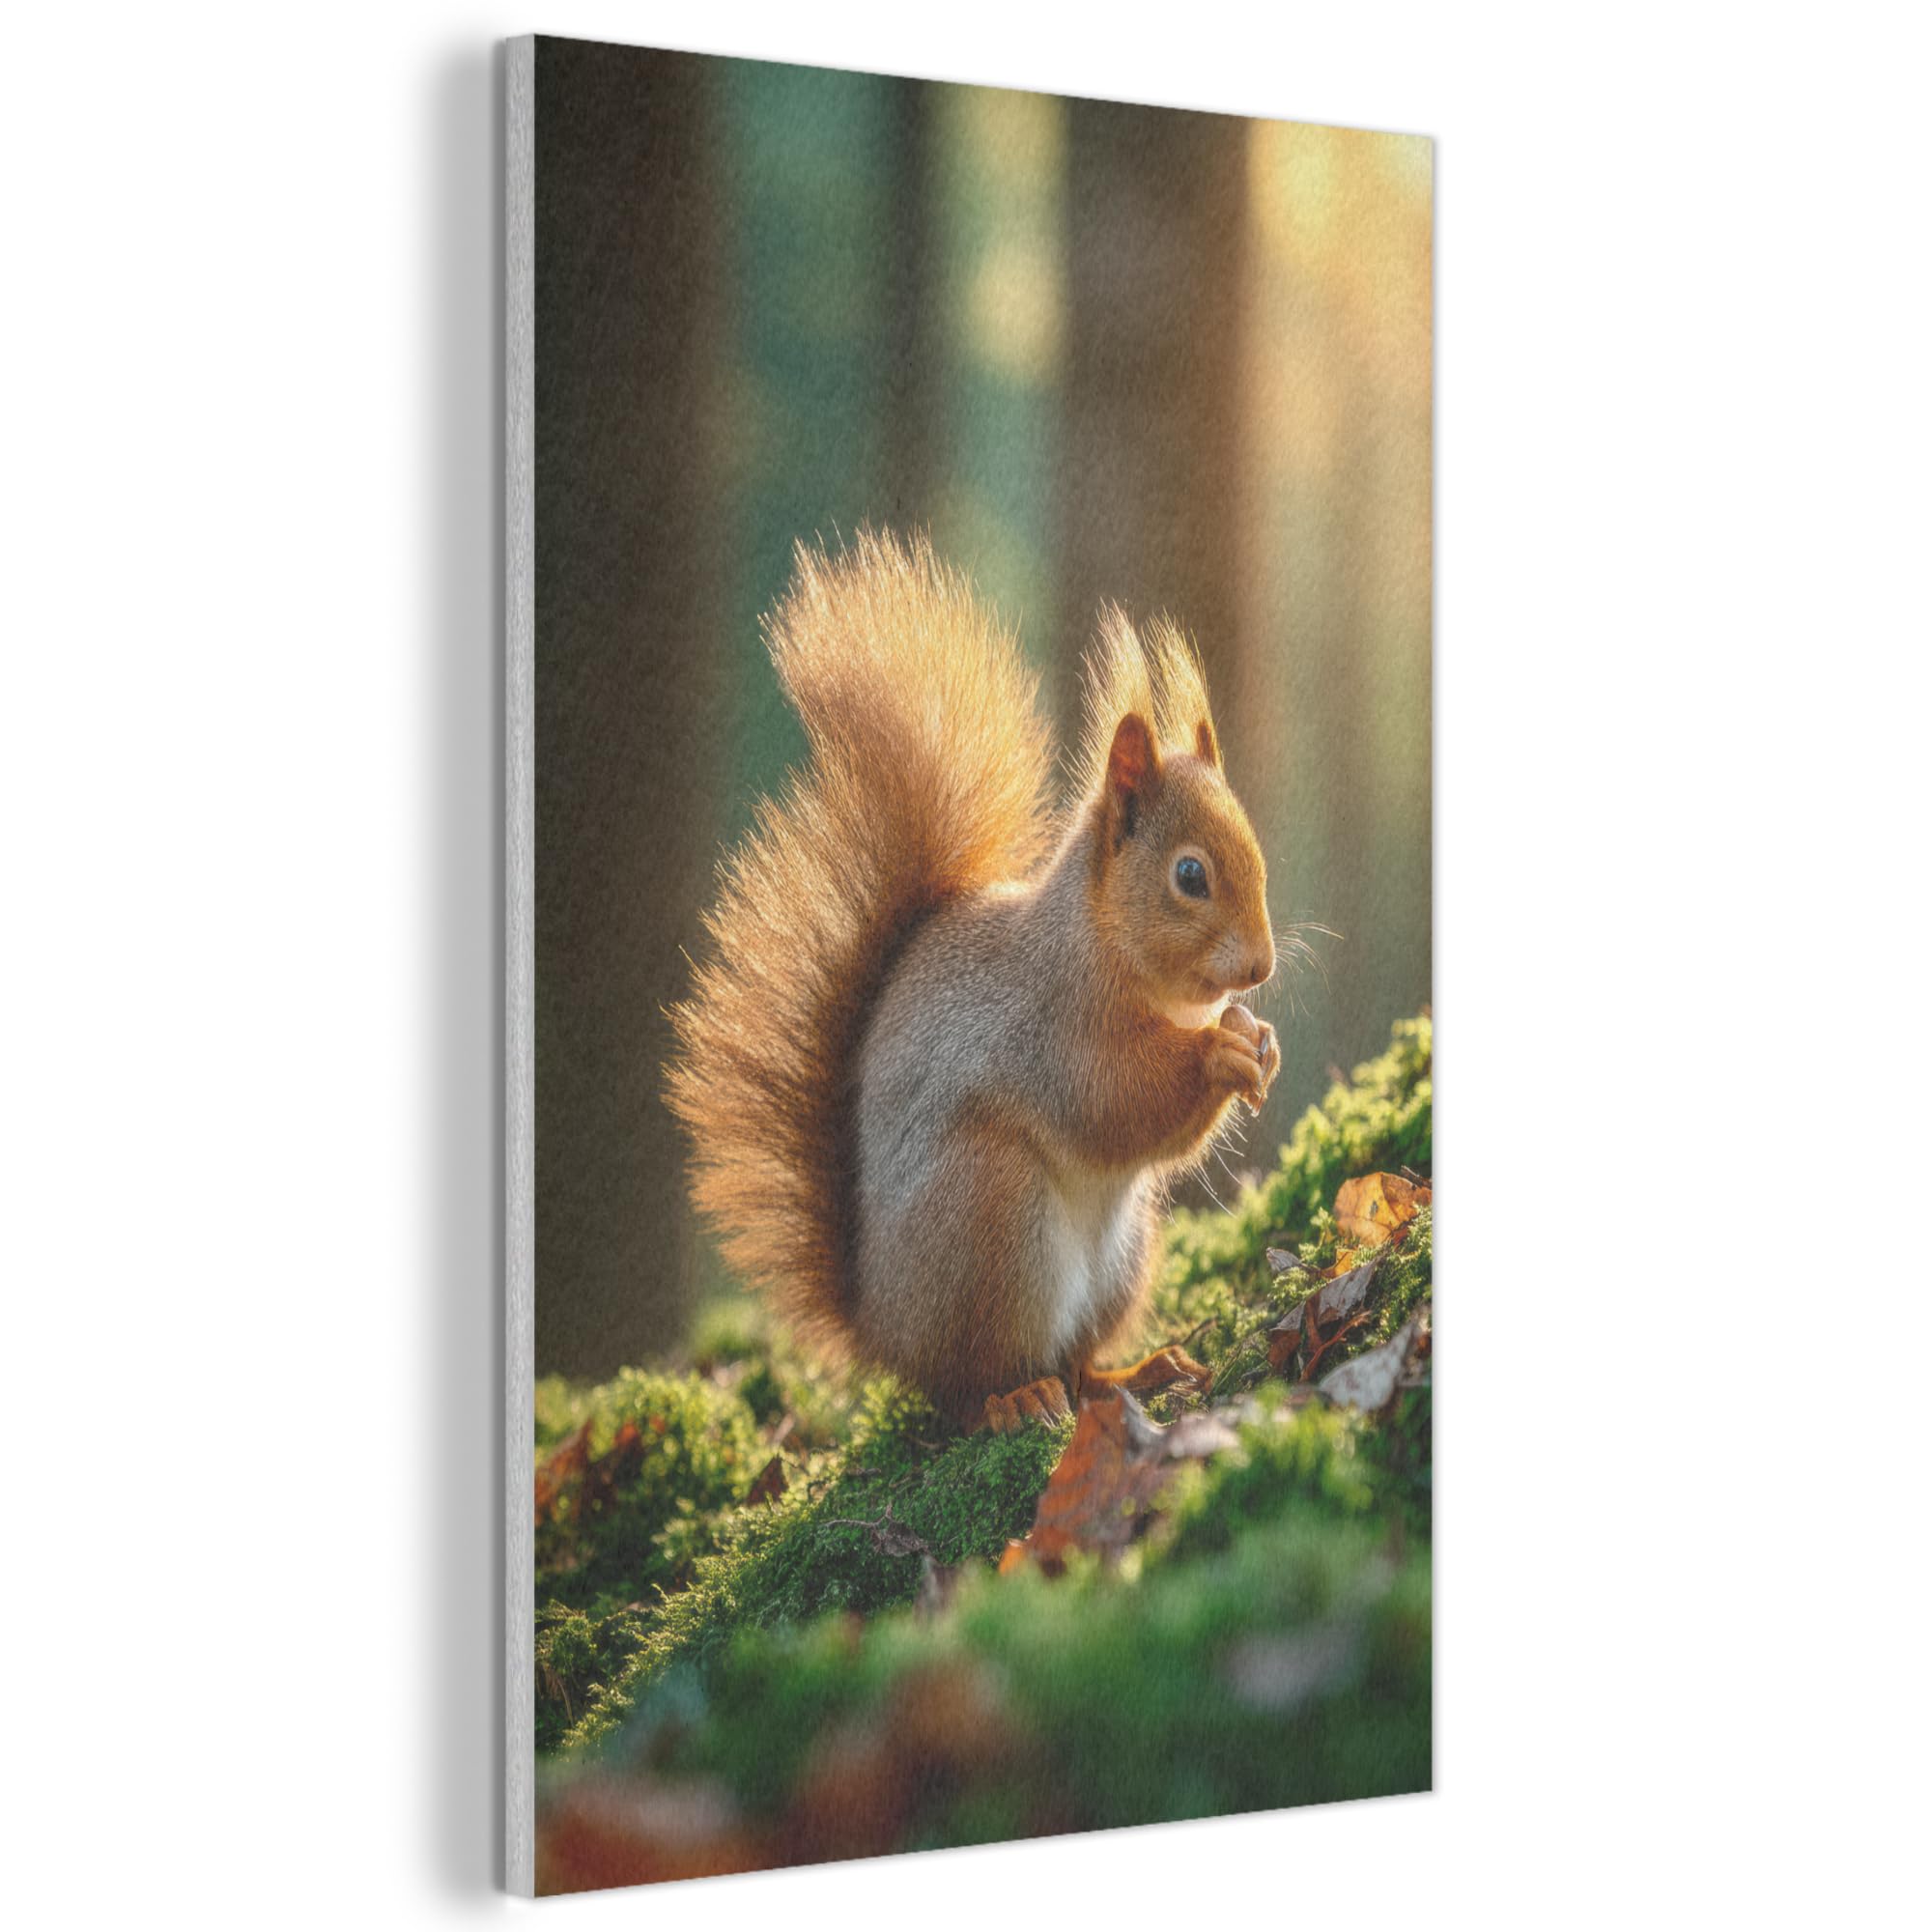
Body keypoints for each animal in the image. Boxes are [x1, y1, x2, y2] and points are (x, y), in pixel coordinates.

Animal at [667, 529, 1278, 1432]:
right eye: (1191, 875)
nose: (1262, 966)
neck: (1100, 946)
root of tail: (881, 1328)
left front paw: (1259, 1042)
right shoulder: (1051, 1027)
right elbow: (1115, 1102)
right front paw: (1220, 1055)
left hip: (1122, 1256)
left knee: (1078, 1364)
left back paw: (1134, 1373)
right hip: (991, 1214)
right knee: (970, 1385)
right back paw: (1014, 1400)